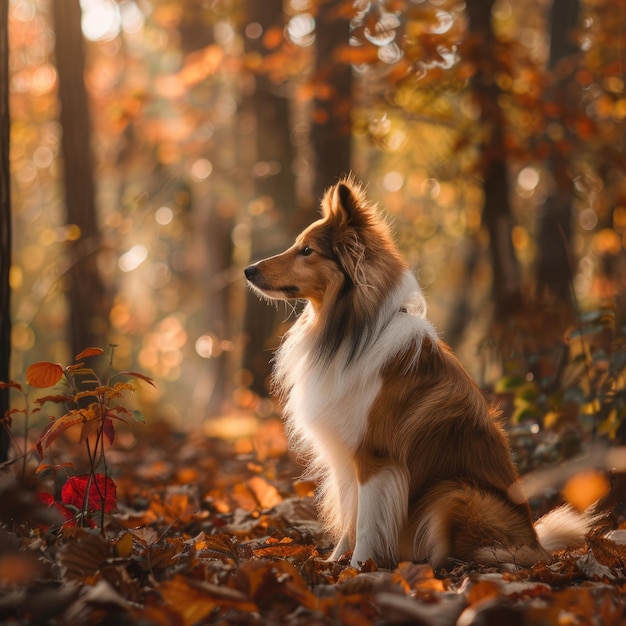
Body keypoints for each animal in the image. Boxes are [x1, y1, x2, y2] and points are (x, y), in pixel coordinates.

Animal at [243, 177, 596, 572]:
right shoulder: (347, 457)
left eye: (307, 251)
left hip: (454, 491)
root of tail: (538, 545)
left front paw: (357, 569)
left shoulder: (375, 457)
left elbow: (365, 522)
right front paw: (334, 563)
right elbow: (350, 516)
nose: (248, 270)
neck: (354, 330)